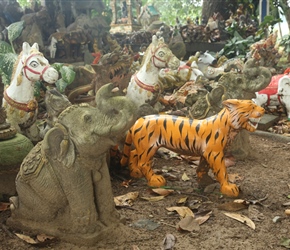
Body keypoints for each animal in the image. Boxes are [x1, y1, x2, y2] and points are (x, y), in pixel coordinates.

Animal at [120, 99, 266, 197]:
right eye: (252, 106)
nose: (264, 110)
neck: (230, 128)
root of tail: (137, 121)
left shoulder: (207, 153)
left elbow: (203, 167)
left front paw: (204, 180)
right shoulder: (214, 153)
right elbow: (222, 171)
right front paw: (228, 188)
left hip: (143, 146)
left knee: (133, 153)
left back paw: (135, 172)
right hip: (149, 146)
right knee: (143, 162)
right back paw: (155, 180)